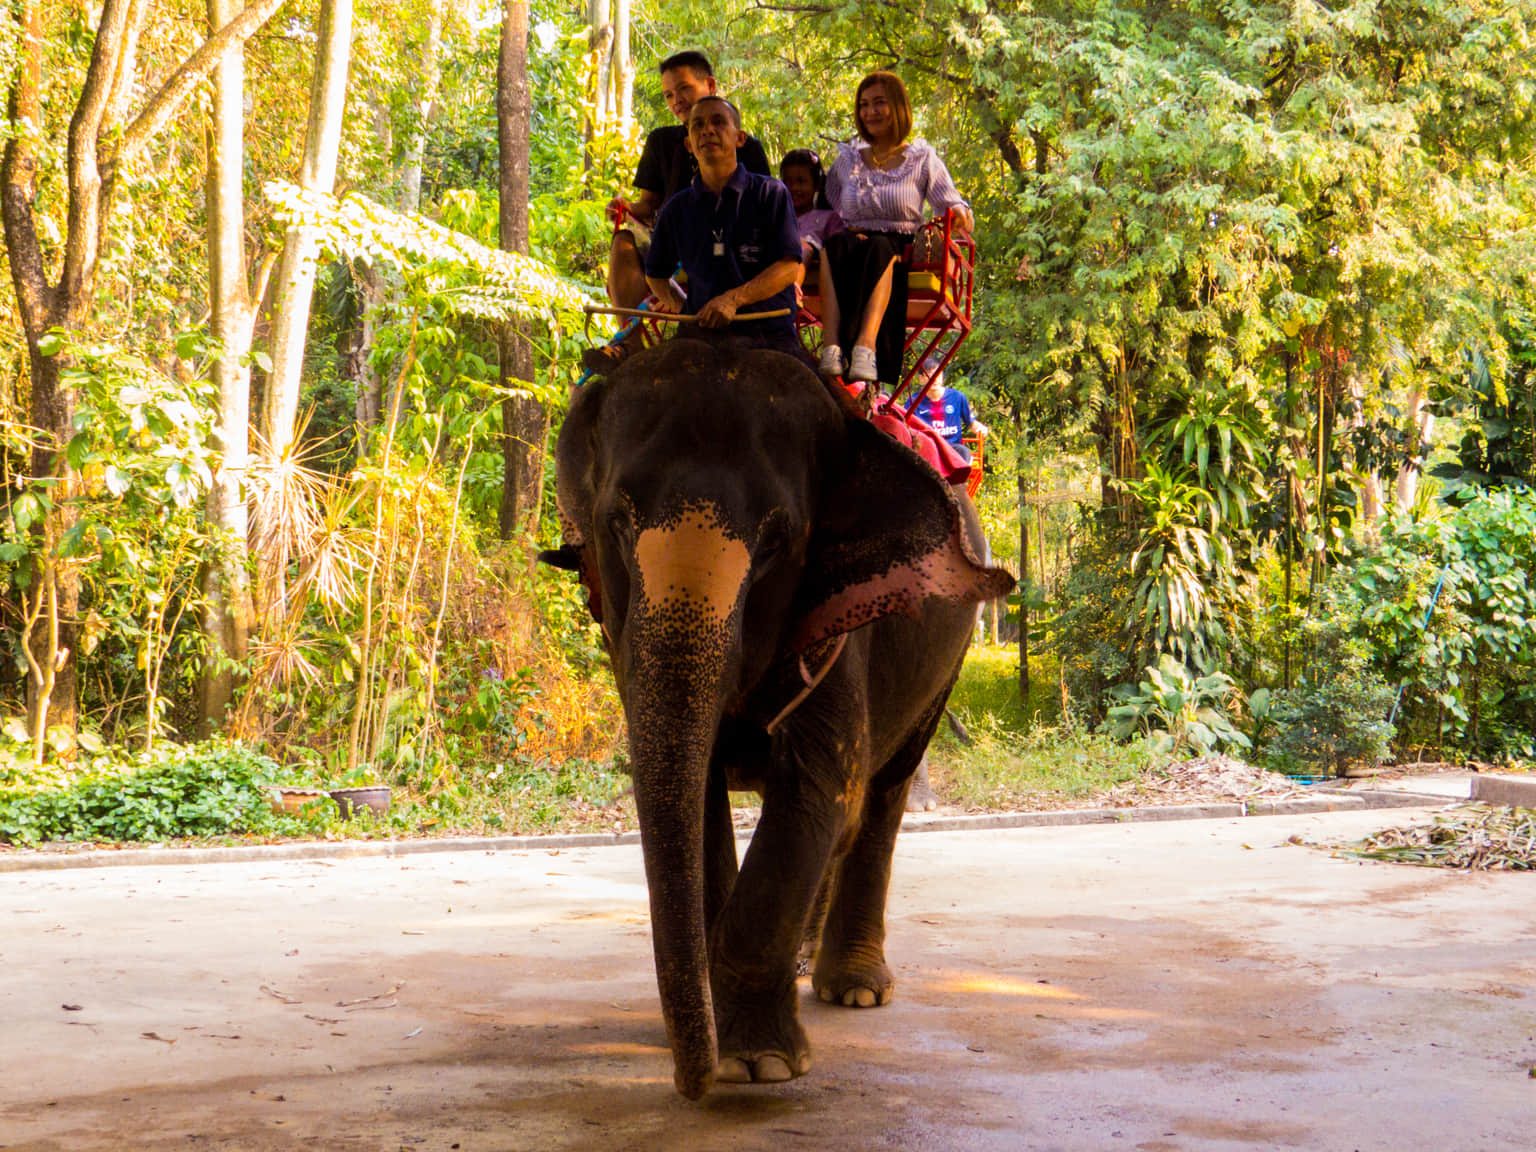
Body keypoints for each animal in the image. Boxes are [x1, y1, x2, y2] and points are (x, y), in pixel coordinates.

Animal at [539, 336, 1014, 1099]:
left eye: (775, 542)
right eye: (617, 522)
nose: (691, 1085)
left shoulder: (842, 627)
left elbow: (816, 794)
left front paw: (757, 1063)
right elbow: (699, 805)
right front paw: (713, 1036)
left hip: (946, 663)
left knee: (876, 801)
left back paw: (854, 988)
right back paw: (806, 965)